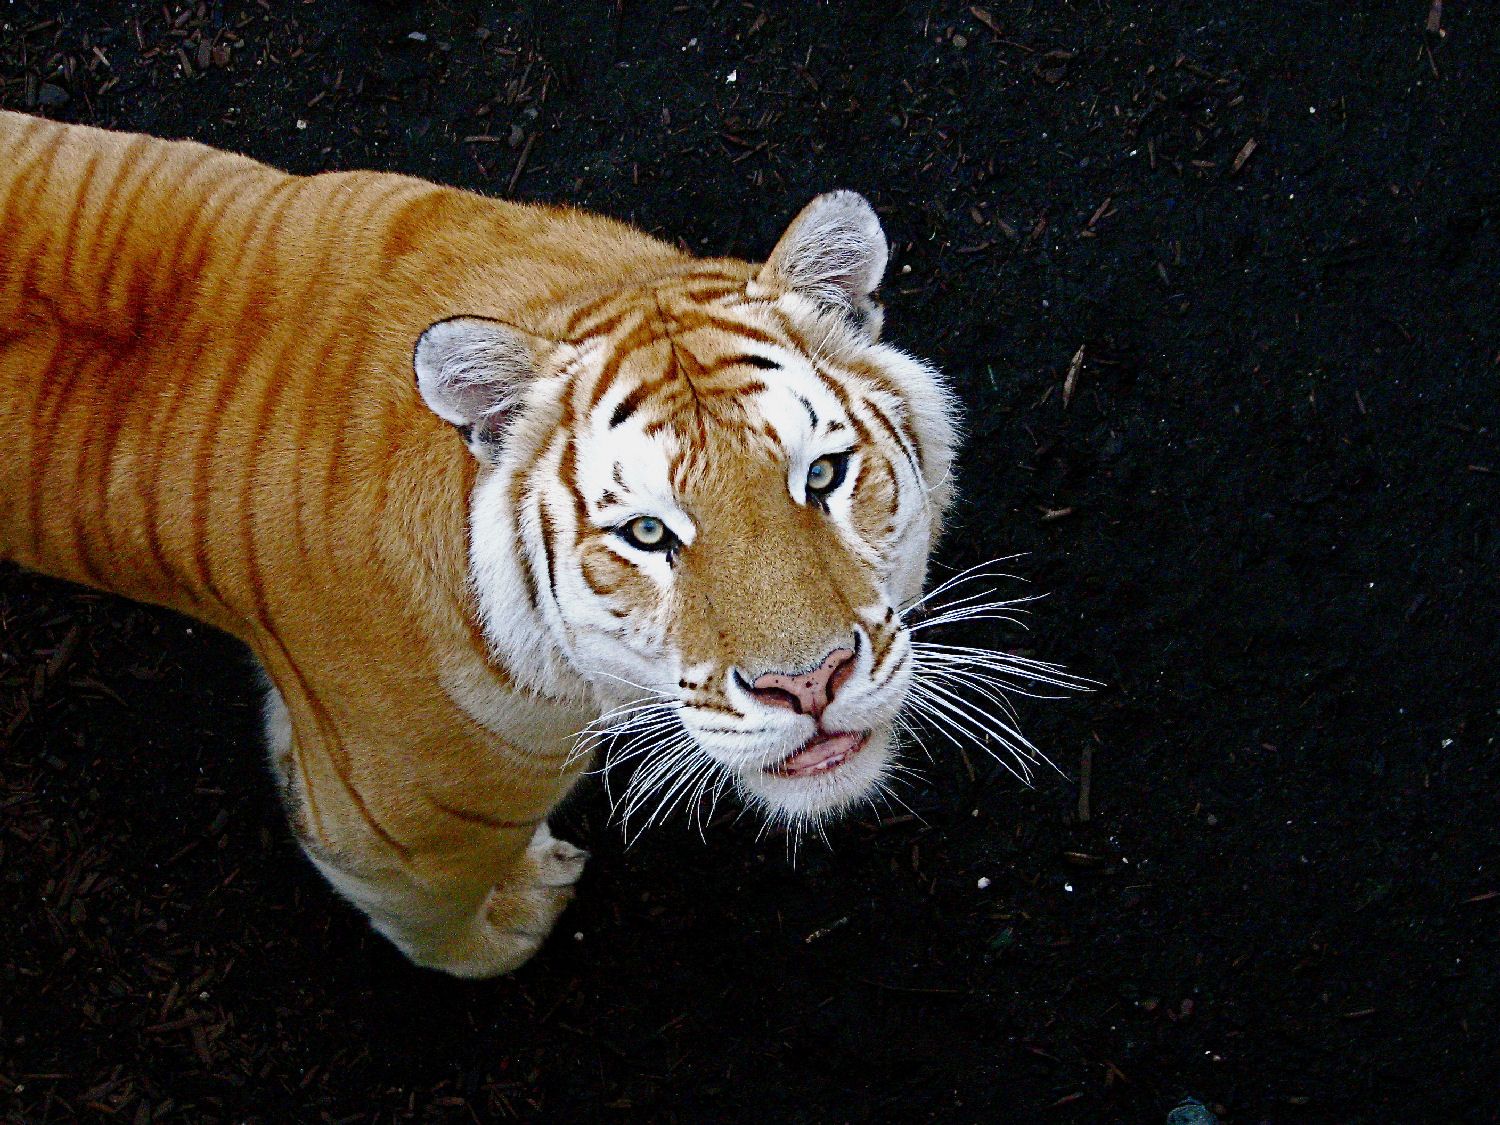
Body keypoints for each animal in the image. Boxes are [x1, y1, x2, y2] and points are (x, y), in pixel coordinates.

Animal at [0, 108, 1028, 978]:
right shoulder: (387, 833)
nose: (809, 684)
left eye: (822, 475)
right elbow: (436, 923)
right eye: (646, 532)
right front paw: (509, 924)